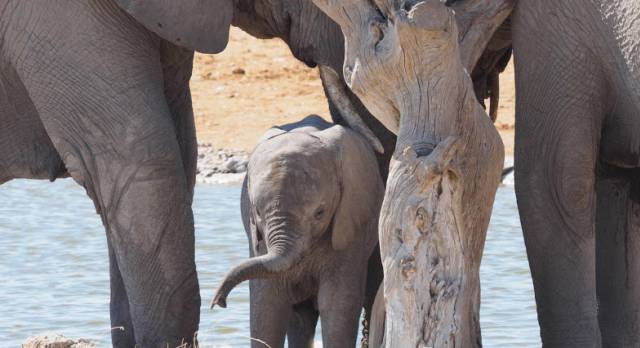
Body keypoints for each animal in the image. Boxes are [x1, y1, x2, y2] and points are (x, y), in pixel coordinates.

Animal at [214, 115, 384, 346]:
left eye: (320, 212)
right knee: (298, 315)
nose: (219, 302)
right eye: (257, 212)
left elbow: (337, 303)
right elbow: (268, 305)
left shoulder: (352, 225)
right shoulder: (257, 240)